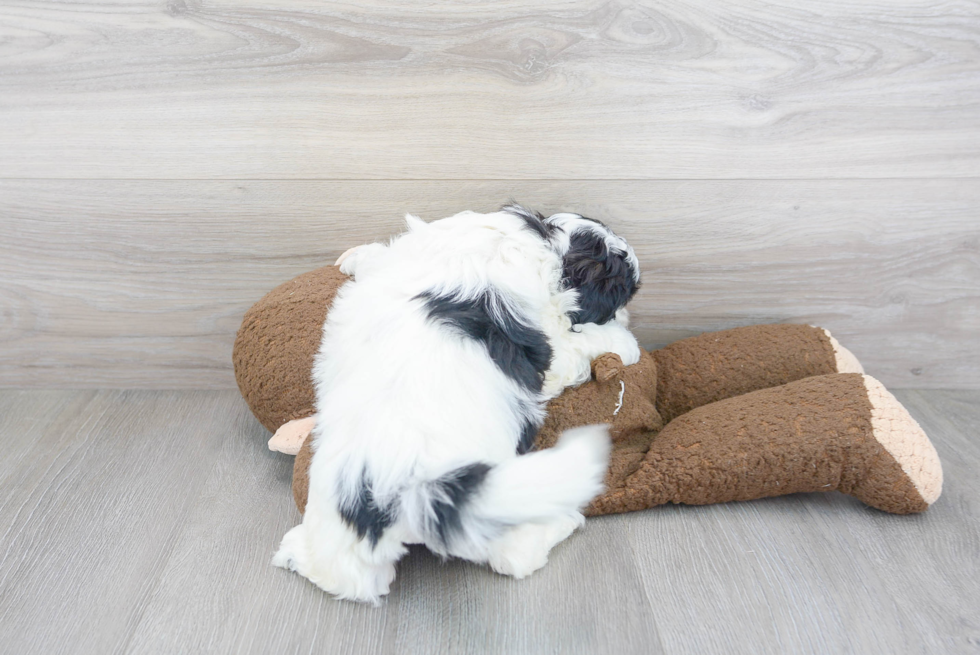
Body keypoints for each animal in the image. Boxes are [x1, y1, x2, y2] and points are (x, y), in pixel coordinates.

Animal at [276, 205, 644, 604]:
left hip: (340, 519)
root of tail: (410, 487)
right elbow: (578, 345)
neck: (542, 237)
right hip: (492, 502)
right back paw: (565, 521)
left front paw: (356, 258)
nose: (627, 315)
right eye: (620, 297)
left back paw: (295, 553)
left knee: (346, 577)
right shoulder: (552, 344)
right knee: (514, 555)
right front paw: (625, 343)